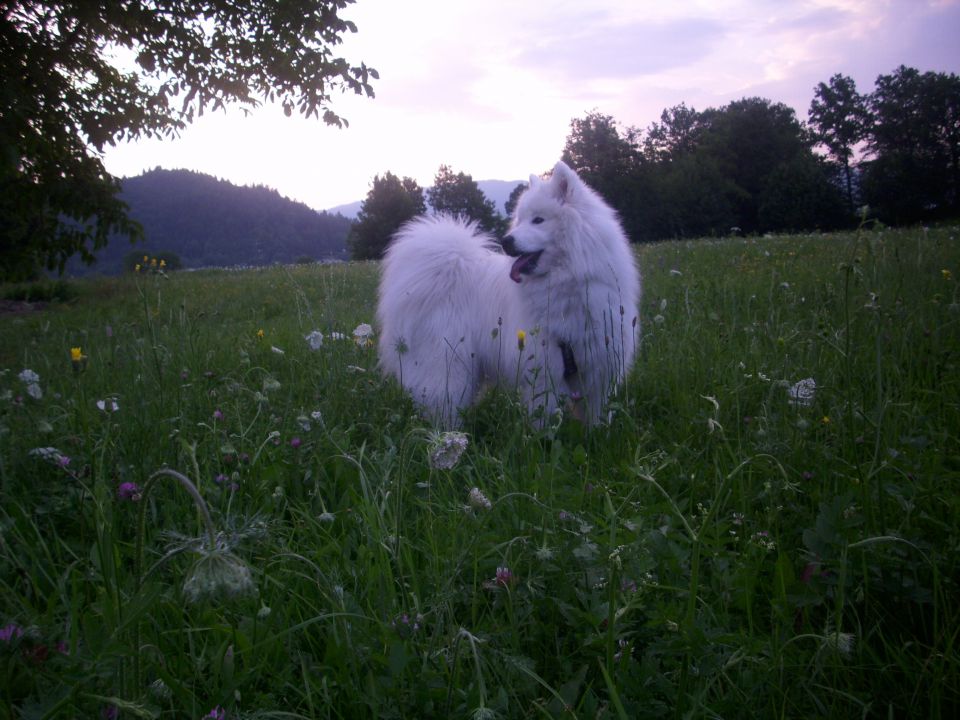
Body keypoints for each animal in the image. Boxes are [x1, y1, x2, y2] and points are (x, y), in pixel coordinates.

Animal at [376, 160, 636, 424]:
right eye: (520, 220)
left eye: (538, 220)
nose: (505, 241)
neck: (566, 284)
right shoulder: (545, 373)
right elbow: (545, 420)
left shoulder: (600, 371)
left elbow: (597, 419)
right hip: (448, 367)